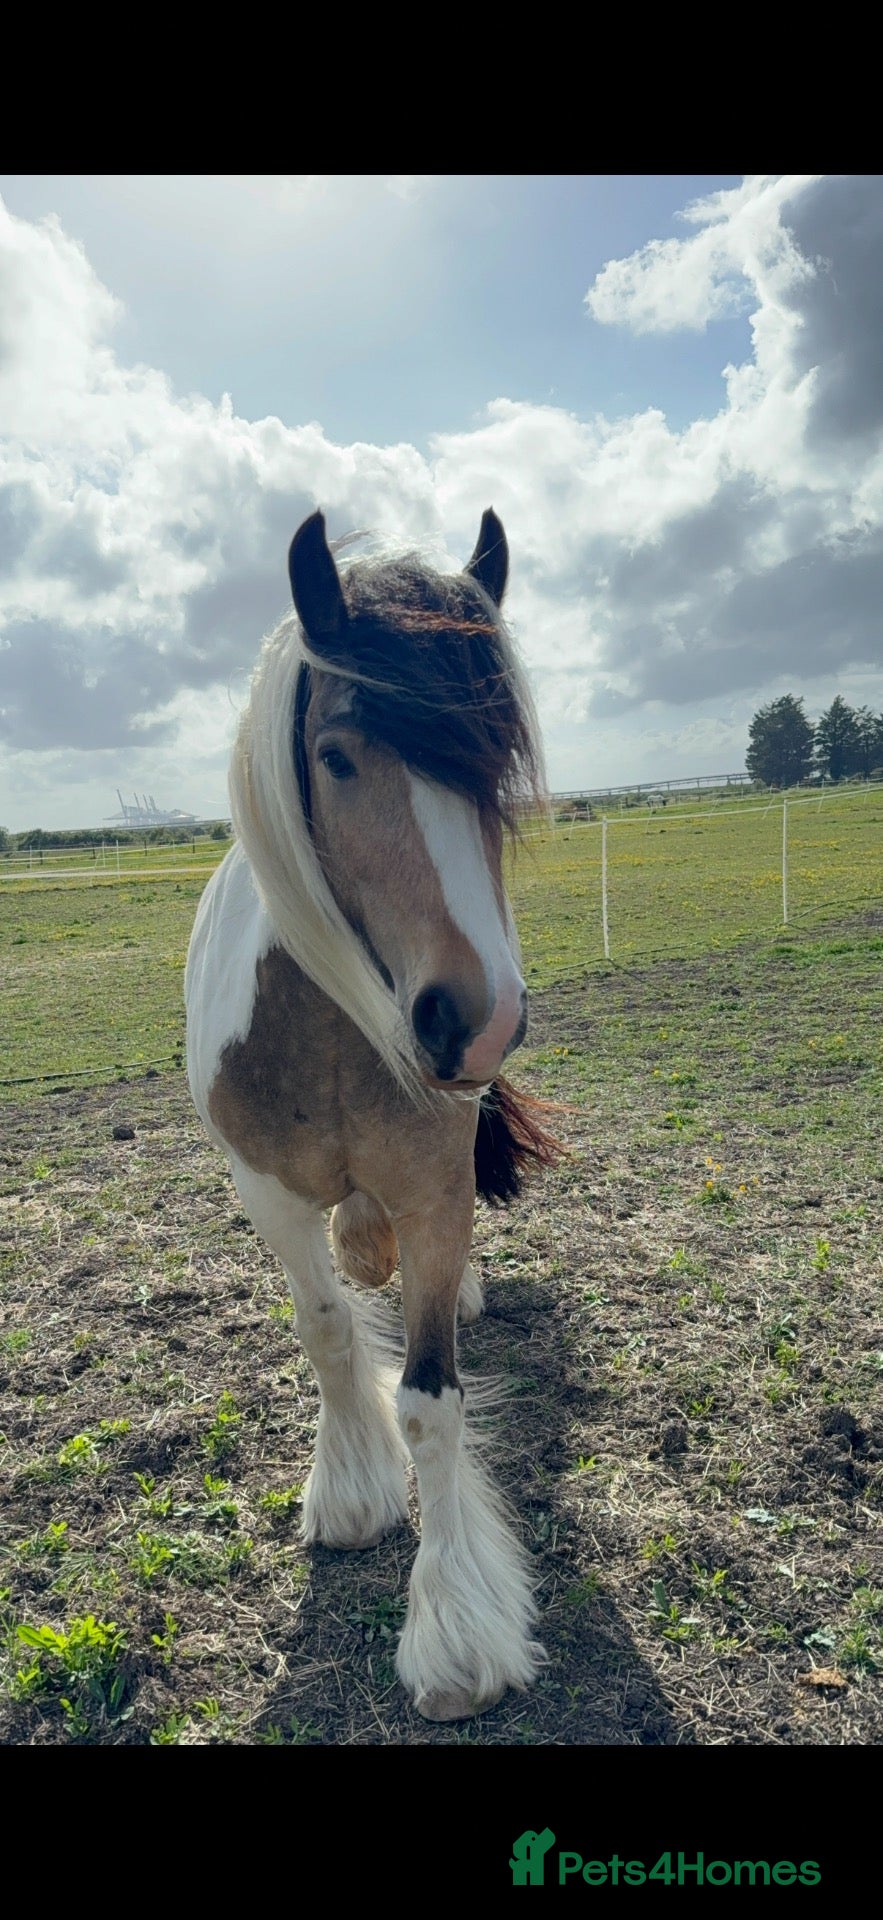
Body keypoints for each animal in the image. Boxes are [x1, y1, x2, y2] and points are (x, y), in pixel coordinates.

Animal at [185, 507, 556, 1722]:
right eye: (338, 755)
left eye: (494, 757)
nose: (475, 1020)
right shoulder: (265, 1196)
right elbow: (330, 1331)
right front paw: (349, 1490)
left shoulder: (437, 1192)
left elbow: (431, 1402)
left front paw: (454, 1634)